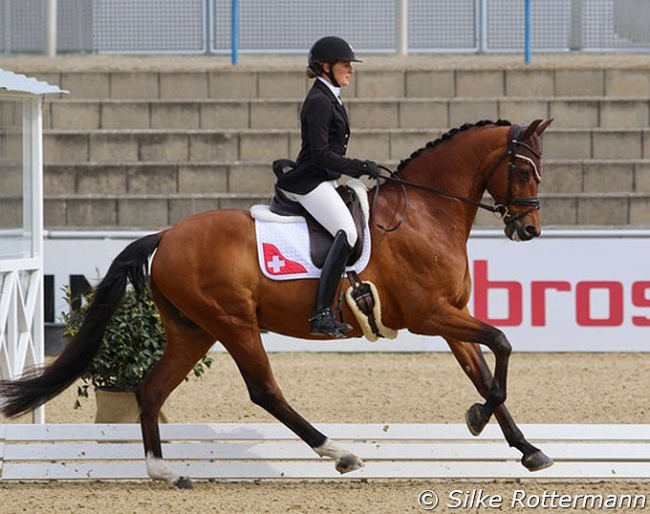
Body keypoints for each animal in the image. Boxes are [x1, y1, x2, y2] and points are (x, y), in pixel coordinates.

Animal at [0, 118, 552, 486]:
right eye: (524, 170)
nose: (528, 230)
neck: (424, 213)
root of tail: (166, 236)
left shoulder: (448, 316)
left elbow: (484, 369)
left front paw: (527, 449)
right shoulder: (429, 314)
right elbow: (502, 343)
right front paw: (479, 419)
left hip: (193, 330)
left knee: (152, 390)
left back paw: (165, 471)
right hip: (233, 322)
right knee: (264, 390)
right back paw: (339, 453)